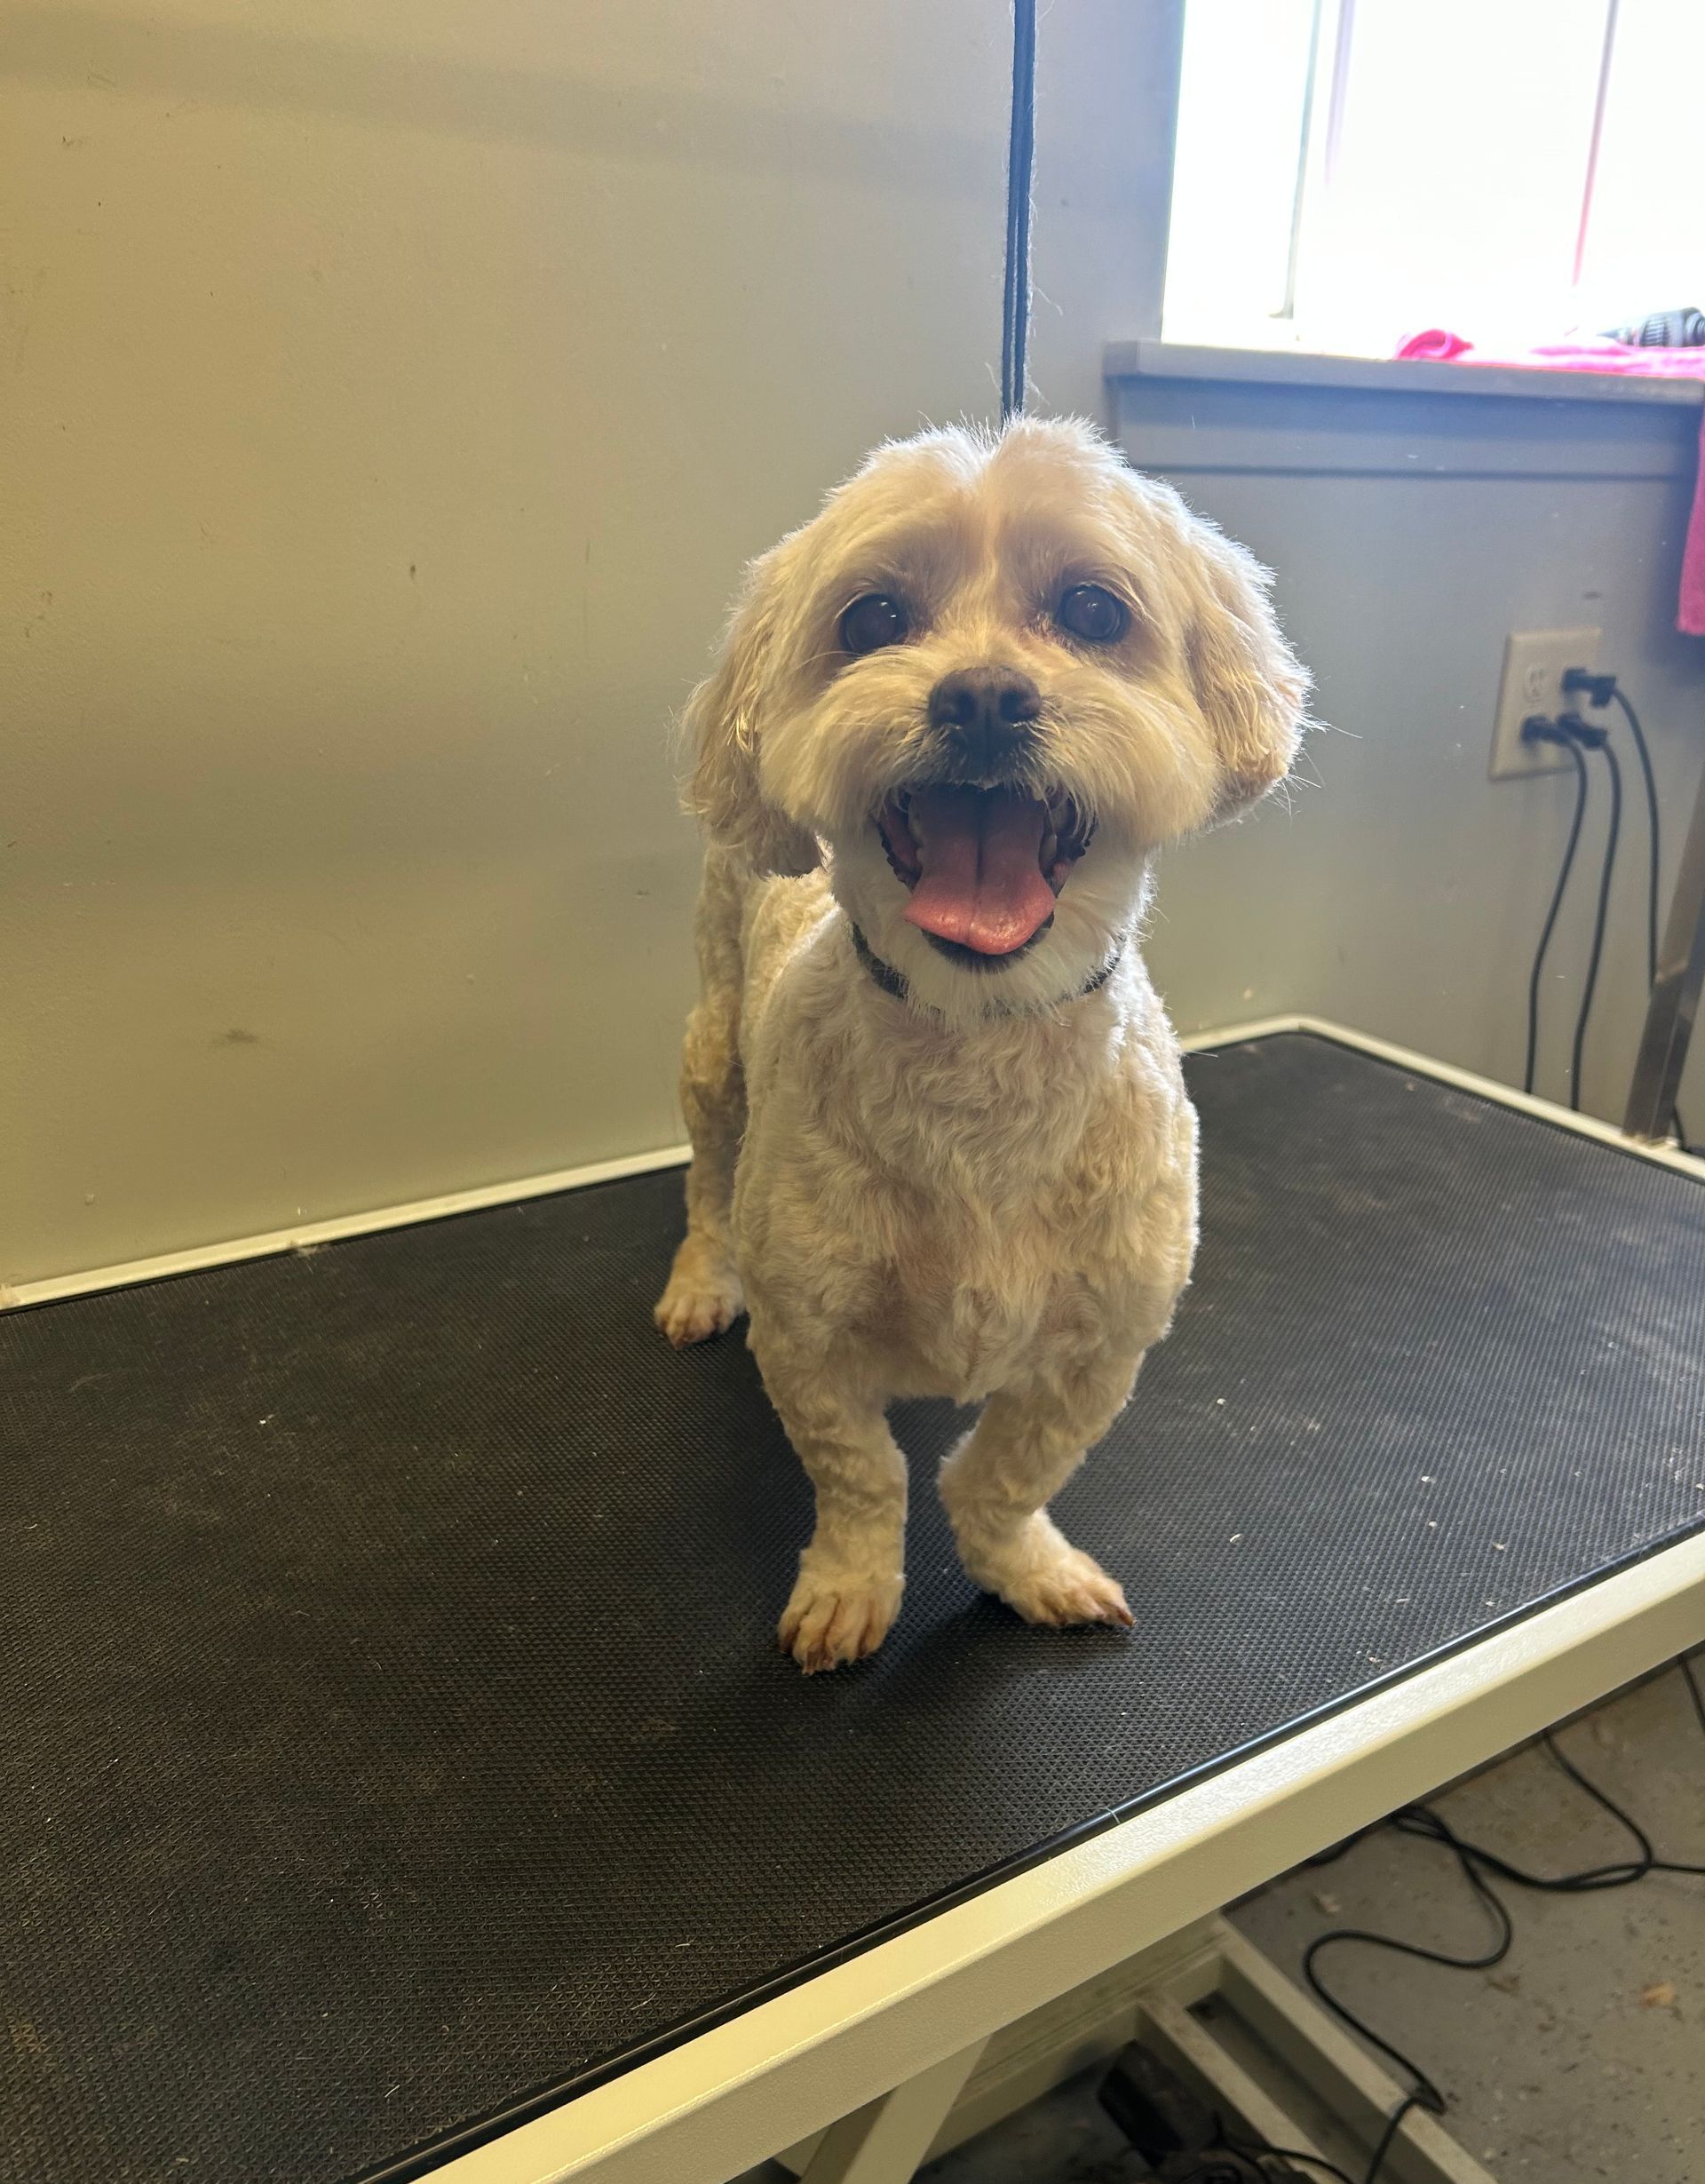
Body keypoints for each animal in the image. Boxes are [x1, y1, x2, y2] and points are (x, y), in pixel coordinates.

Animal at [650, 412, 1301, 1668]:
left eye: (1093, 610)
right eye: (871, 619)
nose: (987, 697)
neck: (981, 1051)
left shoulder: (1105, 1341)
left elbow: (1004, 1475)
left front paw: (1024, 1566)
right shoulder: (806, 1334)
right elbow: (862, 1477)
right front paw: (851, 1588)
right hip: (711, 1049)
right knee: (707, 1177)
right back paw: (702, 1277)